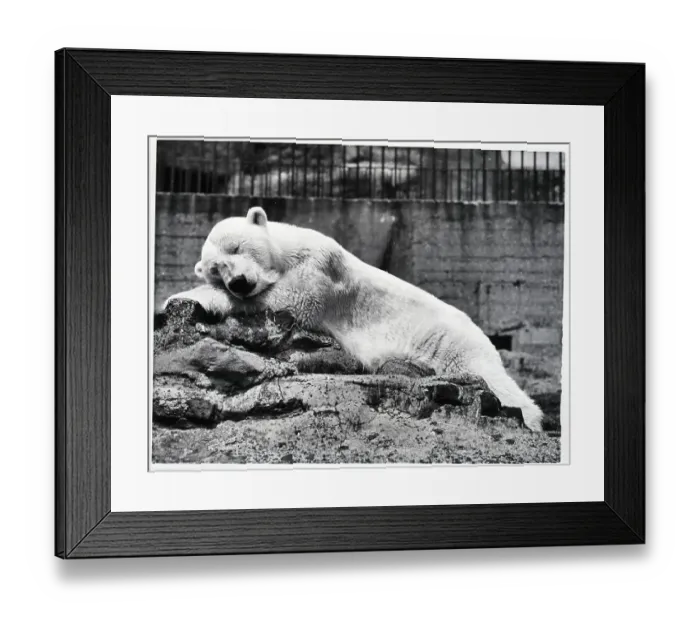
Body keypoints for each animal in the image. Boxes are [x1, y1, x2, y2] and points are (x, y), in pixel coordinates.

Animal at [166, 206, 545, 431]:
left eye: (236, 247)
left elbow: (294, 297)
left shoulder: (321, 267)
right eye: (216, 270)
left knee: (494, 380)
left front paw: (184, 296)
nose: (238, 282)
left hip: (452, 343)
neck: (287, 251)